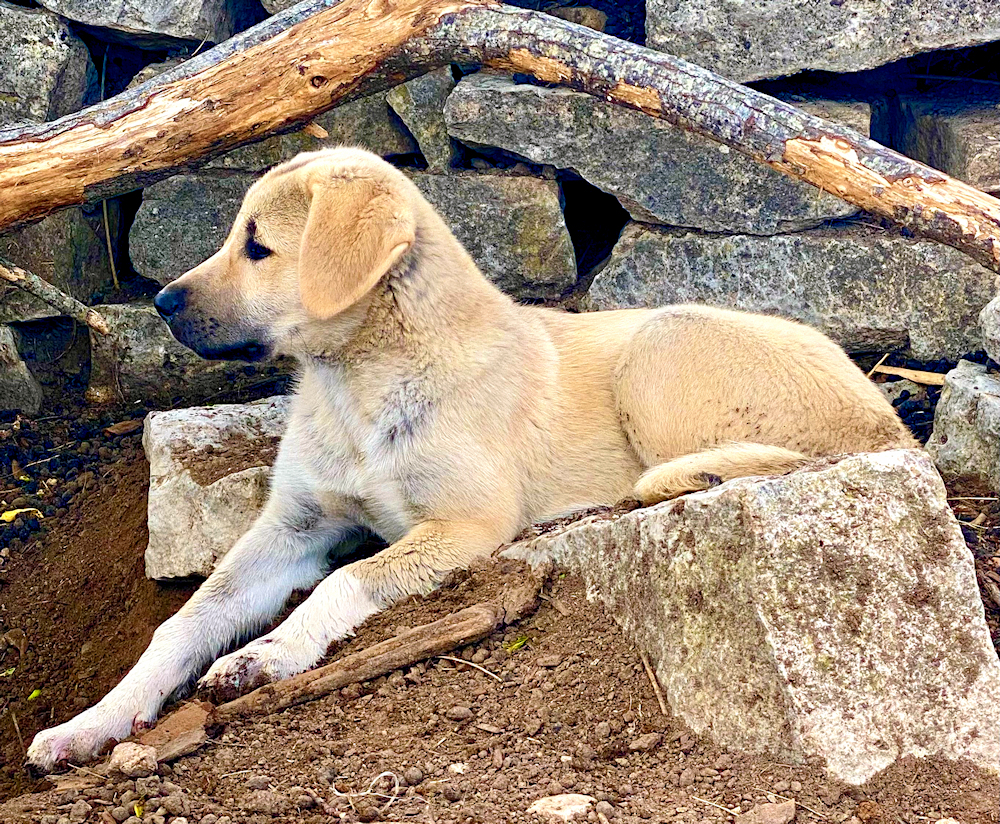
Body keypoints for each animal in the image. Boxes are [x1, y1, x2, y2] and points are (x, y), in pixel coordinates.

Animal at [25, 145, 916, 768]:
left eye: (259, 247)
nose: (162, 303)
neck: (361, 386)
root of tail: (888, 414)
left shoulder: (466, 525)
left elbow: (349, 580)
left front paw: (269, 652)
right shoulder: (293, 528)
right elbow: (185, 621)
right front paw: (93, 721)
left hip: (665, 340)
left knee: (791, 456)